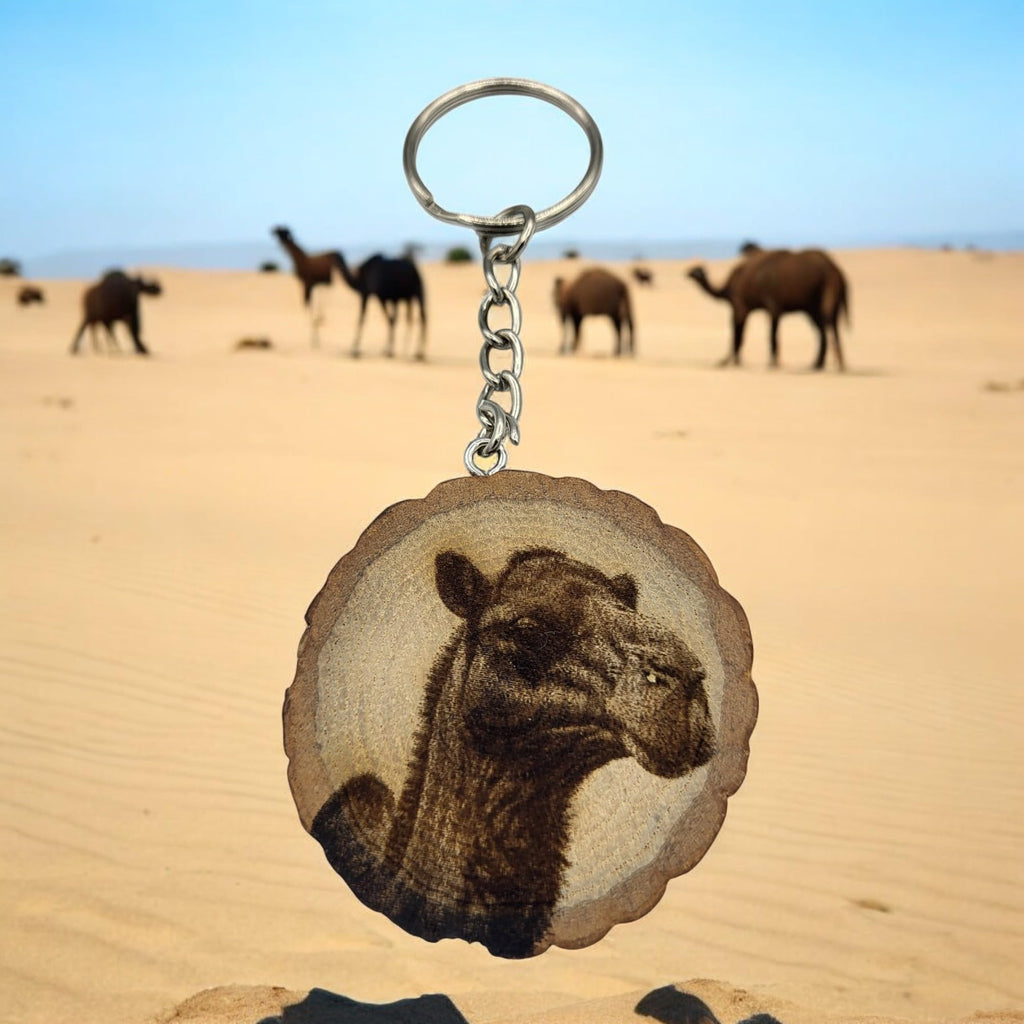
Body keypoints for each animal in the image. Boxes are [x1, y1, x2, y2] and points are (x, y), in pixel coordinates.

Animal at [272, 226, 426, 357]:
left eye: (332, 257)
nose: (327, 273)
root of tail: (414, 269)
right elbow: (383, 320)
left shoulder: (366, 294)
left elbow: (361, 319)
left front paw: (355, 350)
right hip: (403, 296)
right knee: (406, 318)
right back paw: (409, 351)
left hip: (412, 293)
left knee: (419, 317)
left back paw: (417, 353)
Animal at [687, 248, 849, 371]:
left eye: (697, 270)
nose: (686, 272)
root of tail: (837, 270)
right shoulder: (754, 308)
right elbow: (743, 334)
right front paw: (733, 361)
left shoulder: (747, 306)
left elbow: (744, 334)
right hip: (813, 308)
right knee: (826, 328)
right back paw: (826, 364)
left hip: (823, 297)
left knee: (827, 325)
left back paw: (831, 364)